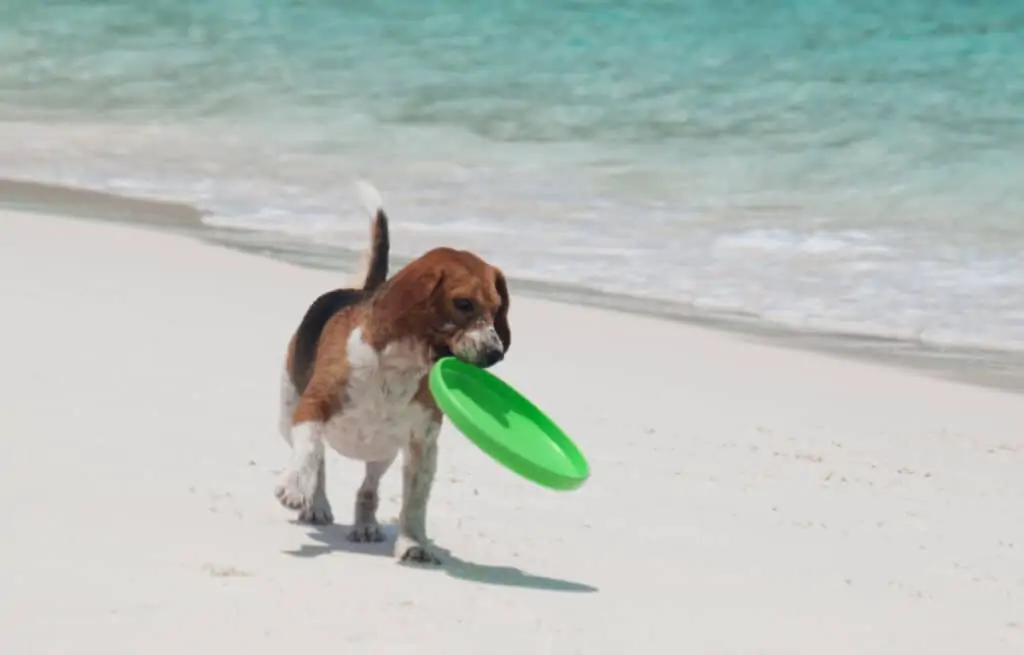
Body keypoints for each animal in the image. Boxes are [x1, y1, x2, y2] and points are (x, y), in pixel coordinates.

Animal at [274, 183, 509, 564]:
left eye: (497, 308)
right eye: (463, 304)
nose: (495, 353)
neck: (400, 364)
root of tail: (364, 289)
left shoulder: (422, 444)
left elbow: (415, 502)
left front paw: (413, 543)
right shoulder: (312, 406)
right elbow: (308, 451)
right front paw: (296, 486)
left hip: (383, 450)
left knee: (368, 488)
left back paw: (366, 525)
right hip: (287, 413)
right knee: (318, 460)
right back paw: (316, 504)